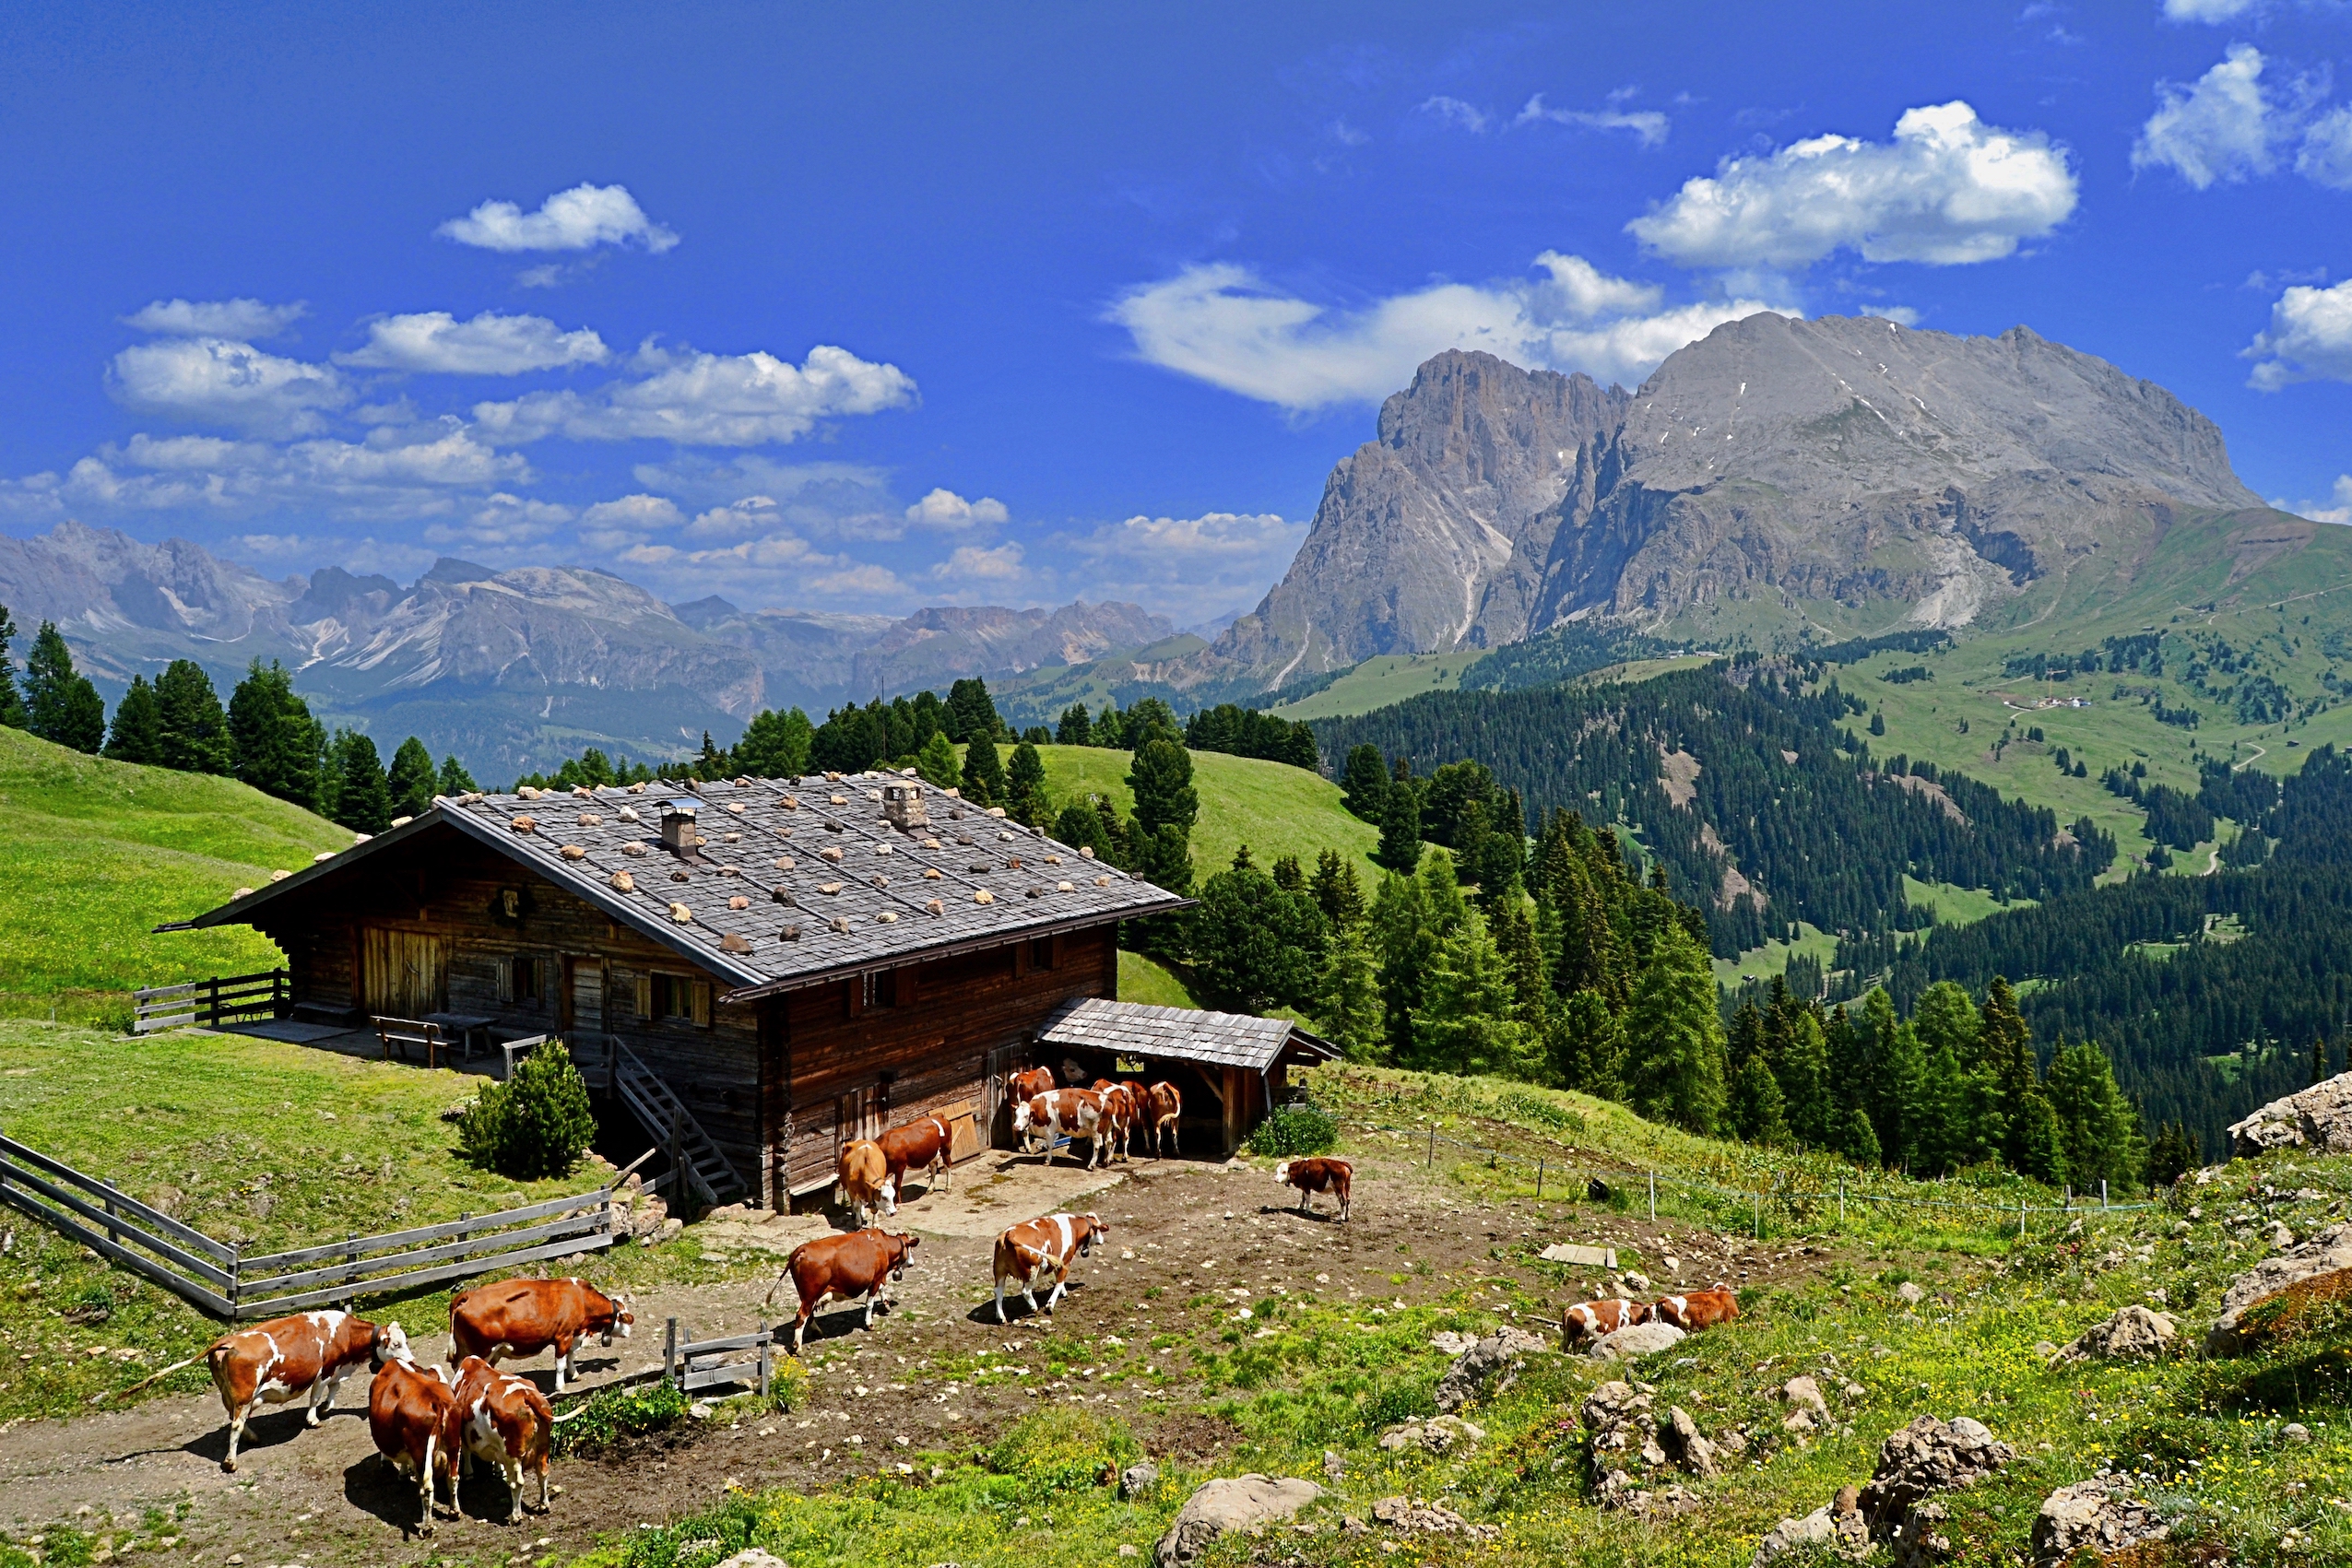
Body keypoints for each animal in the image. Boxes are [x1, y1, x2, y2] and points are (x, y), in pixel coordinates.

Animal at [202, 1316, 381, 1476]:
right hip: (244, 1396)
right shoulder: (325, 1372)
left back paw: (252, 1438)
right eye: (392, 1344)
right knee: (236, 1425)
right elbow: (315, 1397)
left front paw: (325, 1407)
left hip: (229, 1394)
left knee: (234, 1417)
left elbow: (334, 1389)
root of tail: (228, 1342)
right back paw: (231, 1462)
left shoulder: (336, 1370)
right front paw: (313, 1419)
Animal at [366, 1335, 458, 1541]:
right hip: (454, 1446)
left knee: (427, 1487)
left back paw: (427, 1528)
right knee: (453, 1478)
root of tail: (437, 1401)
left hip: (422, 1452)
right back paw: (454, 1512)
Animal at [444, 1279, 634, 1400]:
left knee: (458, 1366)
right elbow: (560, 1364)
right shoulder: (563, 1336)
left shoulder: (573, 1334)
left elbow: (571, 1356)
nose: (628, 1332)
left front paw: (574, 1374)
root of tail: (468, 1295)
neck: (581, 1300)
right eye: (625, 1319)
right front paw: (560, 1386)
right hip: (482, 1349)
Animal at [444, 1353, 550, 1523]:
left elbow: (466, 1451)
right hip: (543, 1447)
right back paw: (543, 1505)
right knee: (543, 1473)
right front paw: (497, 1469)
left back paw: (516, 1515)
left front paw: (469, 1472)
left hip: (513, 1452)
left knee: (517, 1483)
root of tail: (527, 1396)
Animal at [766, 1222, 921, 1353]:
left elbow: (882, 1289)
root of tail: (803, 1248)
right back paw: (797, 1347)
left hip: (806, 1295)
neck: (884, 1244)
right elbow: (870, 1303)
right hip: (811, 1294)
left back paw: (817, 1332)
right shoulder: (876, 1277)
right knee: (801, 1315)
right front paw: (869, 1324)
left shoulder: (879, 1276)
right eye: (909, 1248)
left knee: (808, 1315)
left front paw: (886, 1304)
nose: (912, 1263)